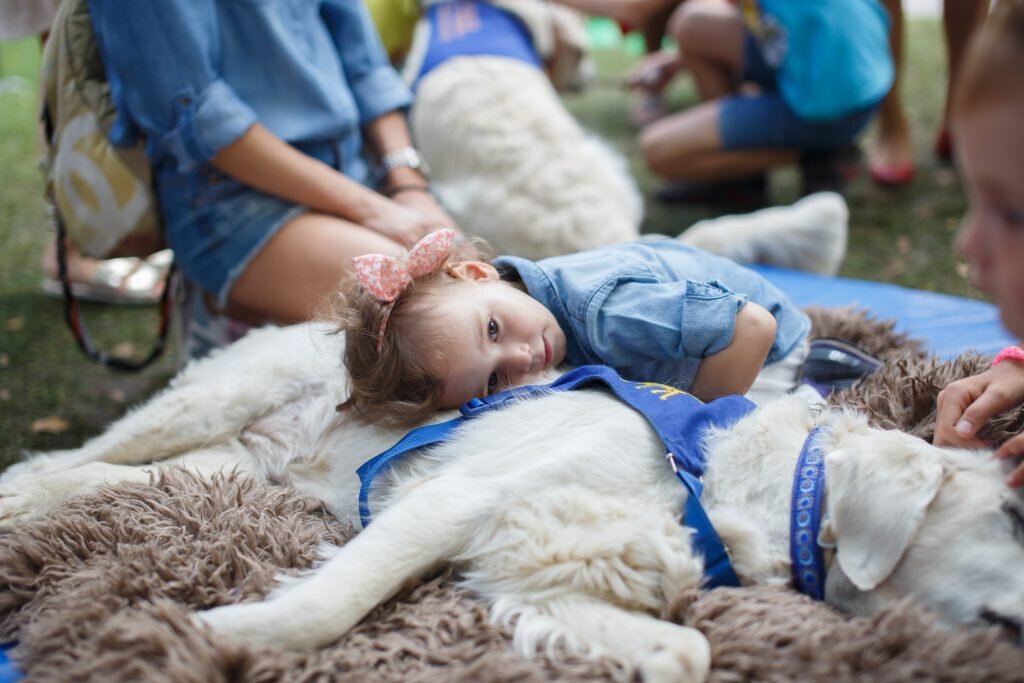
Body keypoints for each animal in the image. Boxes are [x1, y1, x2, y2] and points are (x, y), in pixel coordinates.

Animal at [0, 321, 1019, 683]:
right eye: (1012, 514)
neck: (722, 477)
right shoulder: (454, 501)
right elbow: (325, 605)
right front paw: (211, 635)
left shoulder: (541, 558)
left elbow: (685, 650)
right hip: (208, 404)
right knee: (61, 458)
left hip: (220, 469)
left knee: (80, 477)